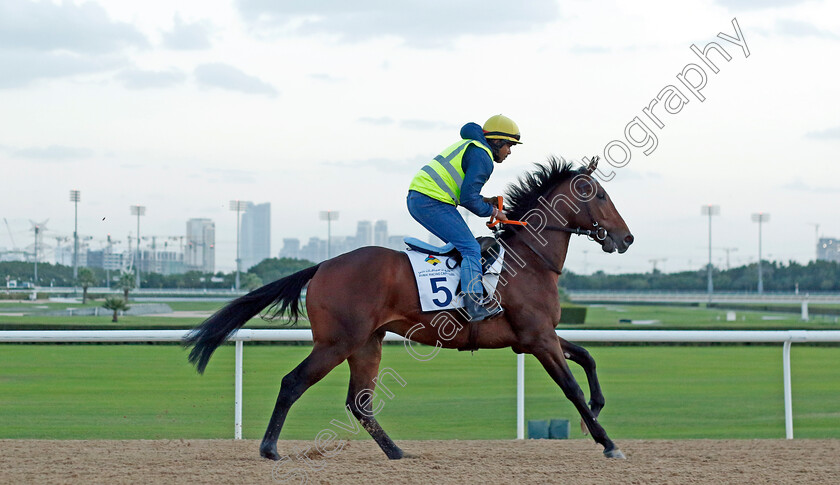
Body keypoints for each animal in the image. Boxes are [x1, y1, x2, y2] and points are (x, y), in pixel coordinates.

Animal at [184, 157, 632, 460]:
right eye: (601, 195)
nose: (625, 238)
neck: (529, 260)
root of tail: (323, 265)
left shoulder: (536, 336)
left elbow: (587, 357)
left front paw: (596, 411)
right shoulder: (538, 339)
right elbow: (571, 386)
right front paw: (608, 442)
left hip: (367, 343)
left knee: (359, 402)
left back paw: (396, 451)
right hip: (337, 342)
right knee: (293, 383)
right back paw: (270, 448)